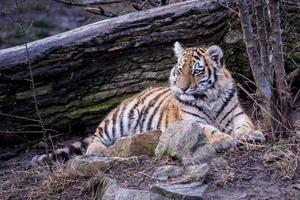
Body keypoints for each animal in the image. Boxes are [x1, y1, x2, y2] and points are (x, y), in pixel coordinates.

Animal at [31, 41, 264, 165]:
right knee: (95, 140)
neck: (210, 97)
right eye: (180, 70)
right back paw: (101, 150)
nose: (182, 88)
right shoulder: (191, 120)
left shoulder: (236, 113)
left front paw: (252, 134)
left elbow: (245, 124)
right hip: (118, 120)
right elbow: (209, 130)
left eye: (196, 71)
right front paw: (224, 139)